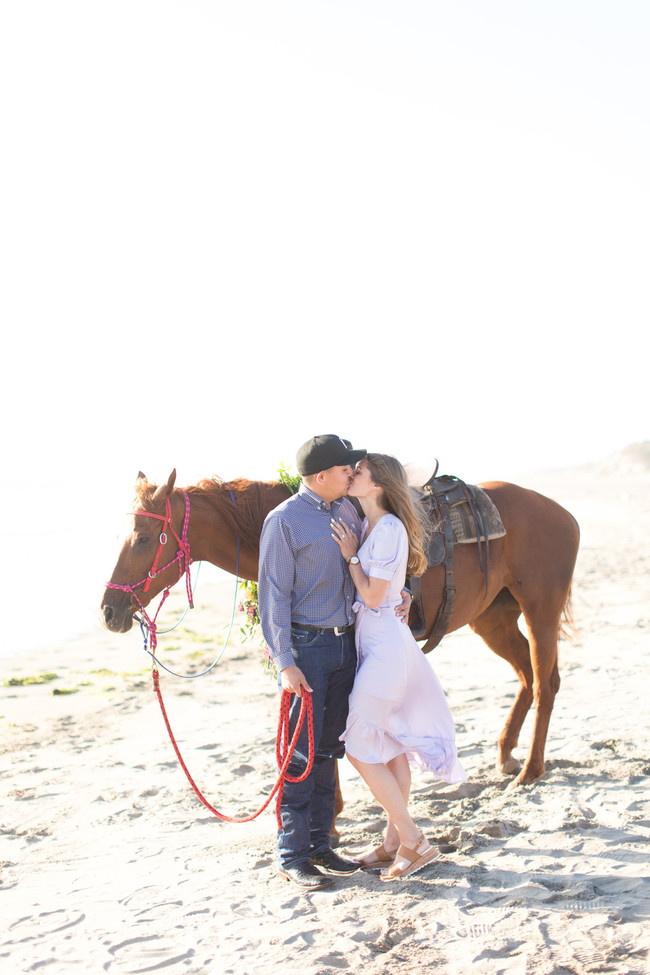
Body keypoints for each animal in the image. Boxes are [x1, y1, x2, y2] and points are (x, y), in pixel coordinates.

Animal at [100, 468, 576, 788]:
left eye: (144, 538)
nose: (108, 610)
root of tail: (562, 512)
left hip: (540, 610)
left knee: (546, 682)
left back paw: (531, 769)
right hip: (493, 619)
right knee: (528, 677)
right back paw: (507, 755)